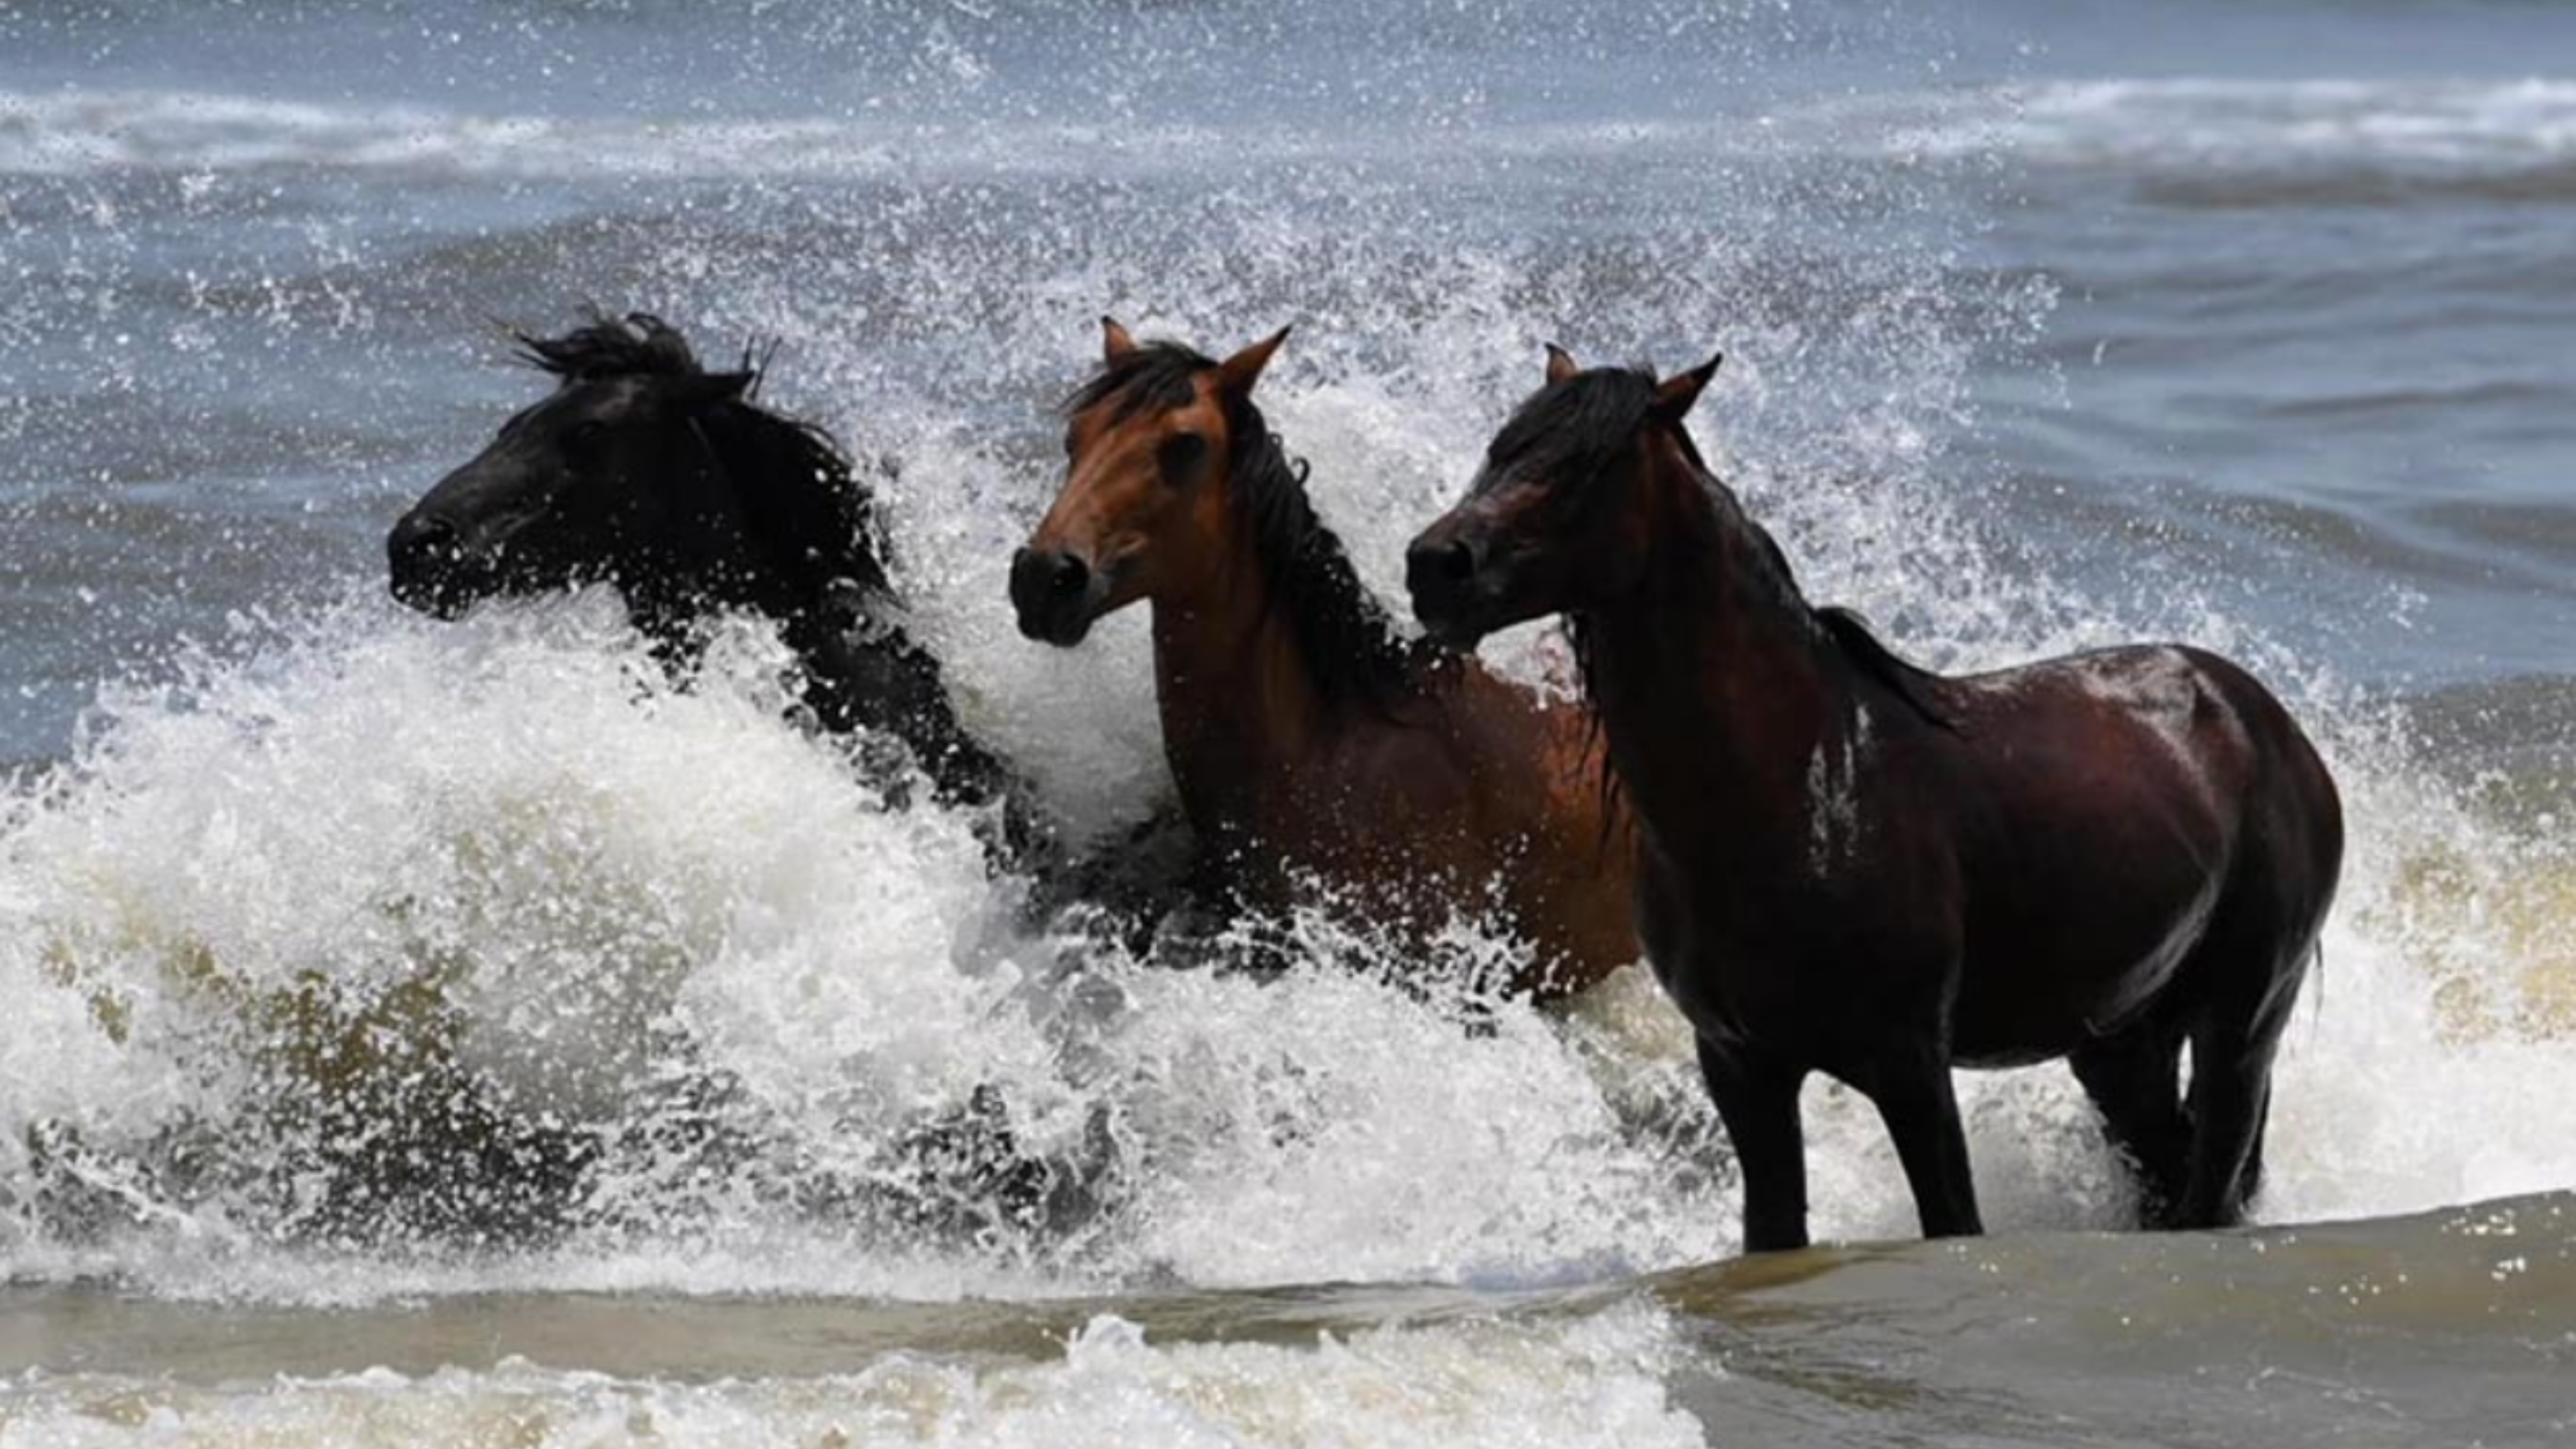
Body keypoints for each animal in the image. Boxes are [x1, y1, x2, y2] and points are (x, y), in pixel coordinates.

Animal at [1405, 345, 2343, 1249]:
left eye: (1587, 467)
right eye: (1502, 448)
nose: (1434, 567)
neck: (1795, 789)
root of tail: (2263, 721)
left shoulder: (1908, 1062)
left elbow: (1952, 1220)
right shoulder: (1741, 1065)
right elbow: (1774, 1233)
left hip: (2242, 1019)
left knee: (2210, 1180)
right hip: (2121, 1042)